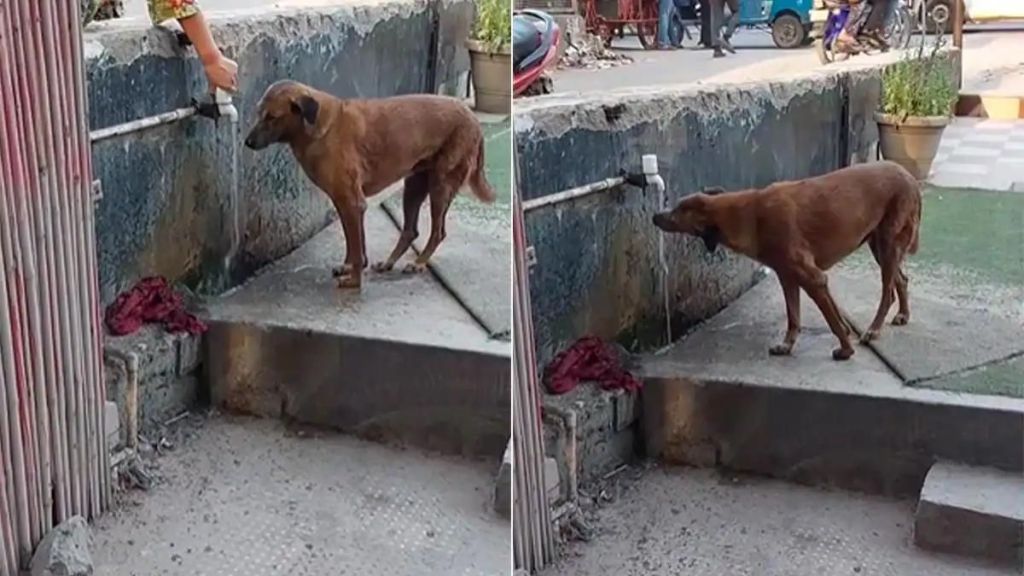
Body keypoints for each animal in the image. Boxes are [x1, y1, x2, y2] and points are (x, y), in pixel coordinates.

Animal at [241, 80, 493, 286]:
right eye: (258, 113)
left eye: (272, 117)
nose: (247, 142)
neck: (318, 126)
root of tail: (473, 119)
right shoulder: (344, 203)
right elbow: (354, 245)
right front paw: (351, 266)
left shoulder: (352, 203)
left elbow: (354, 244)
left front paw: (353, 280)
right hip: (413, 187)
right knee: (410, 231)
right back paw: (389, 263)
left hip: (440, 186)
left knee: (438, 232)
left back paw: (419, 263)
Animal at [651, 161, 925, 358]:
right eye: (675, 206)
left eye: (677, 213)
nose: (655, 216)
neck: (749, 215)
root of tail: (909, 177)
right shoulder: (789, 277)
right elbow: (795, 317)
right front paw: (787, 346)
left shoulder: (813, 278)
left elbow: (832, 321)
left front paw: (846, 350)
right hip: (879, 246)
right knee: (902, 279)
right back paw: (903, 315)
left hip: (888, 243)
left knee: (888, 291)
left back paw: (874, 329)